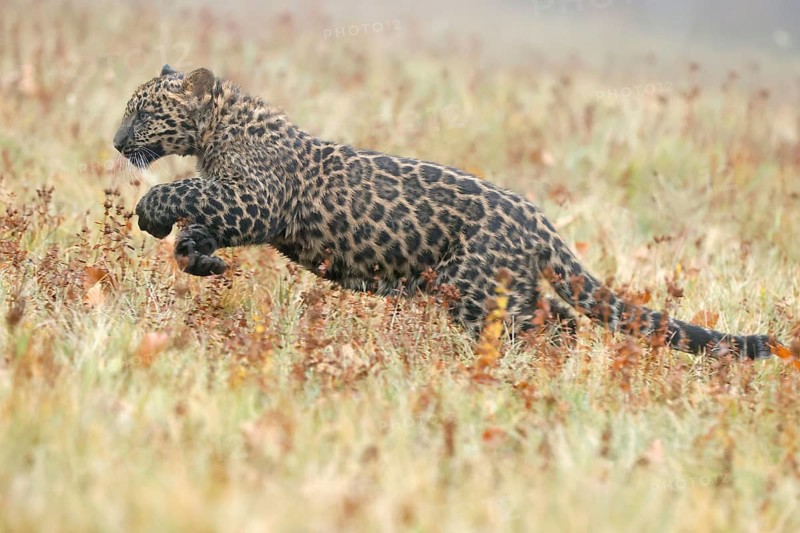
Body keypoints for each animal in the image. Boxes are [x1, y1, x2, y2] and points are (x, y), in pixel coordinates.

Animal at [114, 64, 786, 360]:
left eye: (142, 112)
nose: (117, 142)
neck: (217, 127)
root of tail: (536, 218)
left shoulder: (252, 200)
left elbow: (180, 192)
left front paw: (152, 215)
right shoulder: (235, 205)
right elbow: (195, 225)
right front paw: (200, 259)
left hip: (477, 289)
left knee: (553, 325)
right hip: (497, 287)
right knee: (562, 317)